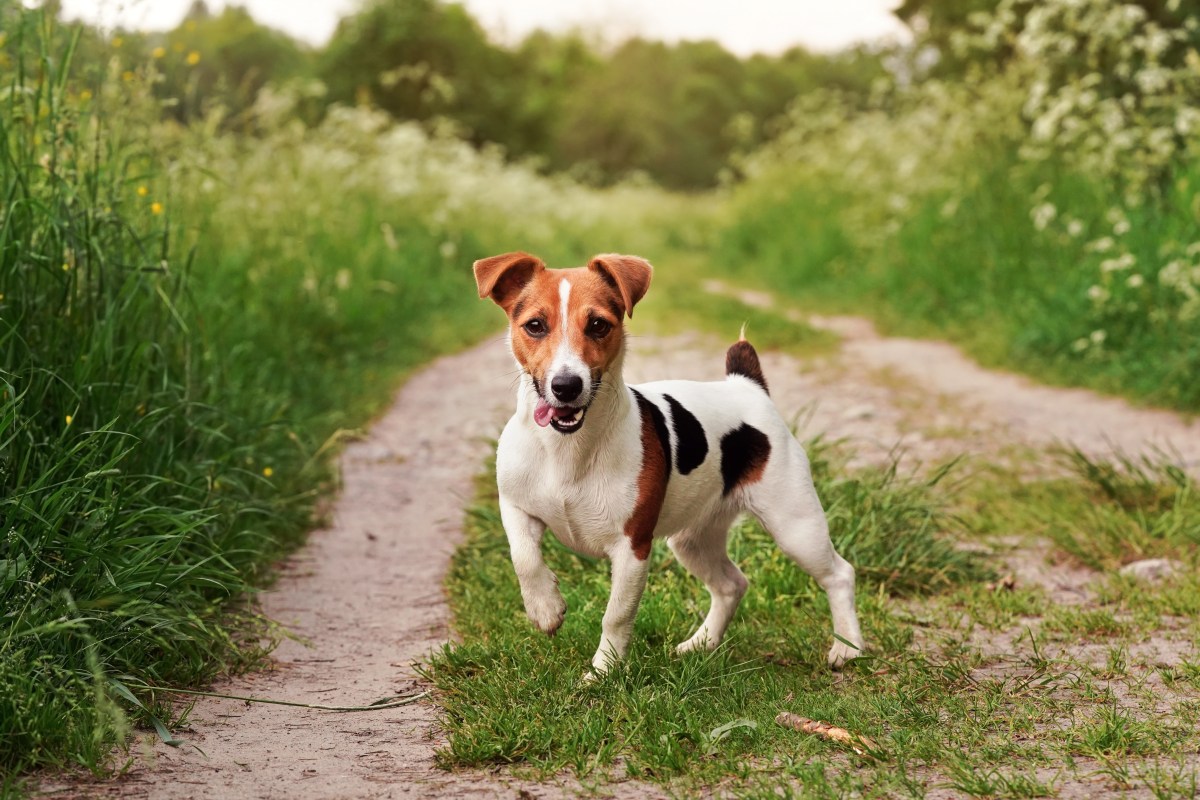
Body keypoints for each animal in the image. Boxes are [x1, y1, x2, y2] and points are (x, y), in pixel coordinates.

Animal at [470, 250, 864, 676]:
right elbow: (524, 558)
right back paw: (701, 643)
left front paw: (604, 672)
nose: (566, 386)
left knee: (839, 574)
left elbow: (616, 615)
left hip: (795, 525)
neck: (567, 447)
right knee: (731, 585)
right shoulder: (515, 506)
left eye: (598, 325)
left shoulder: (632, 548)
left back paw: (847, 648)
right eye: (535, 326)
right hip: (693, 539)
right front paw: (545, 609)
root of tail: (747, 386)